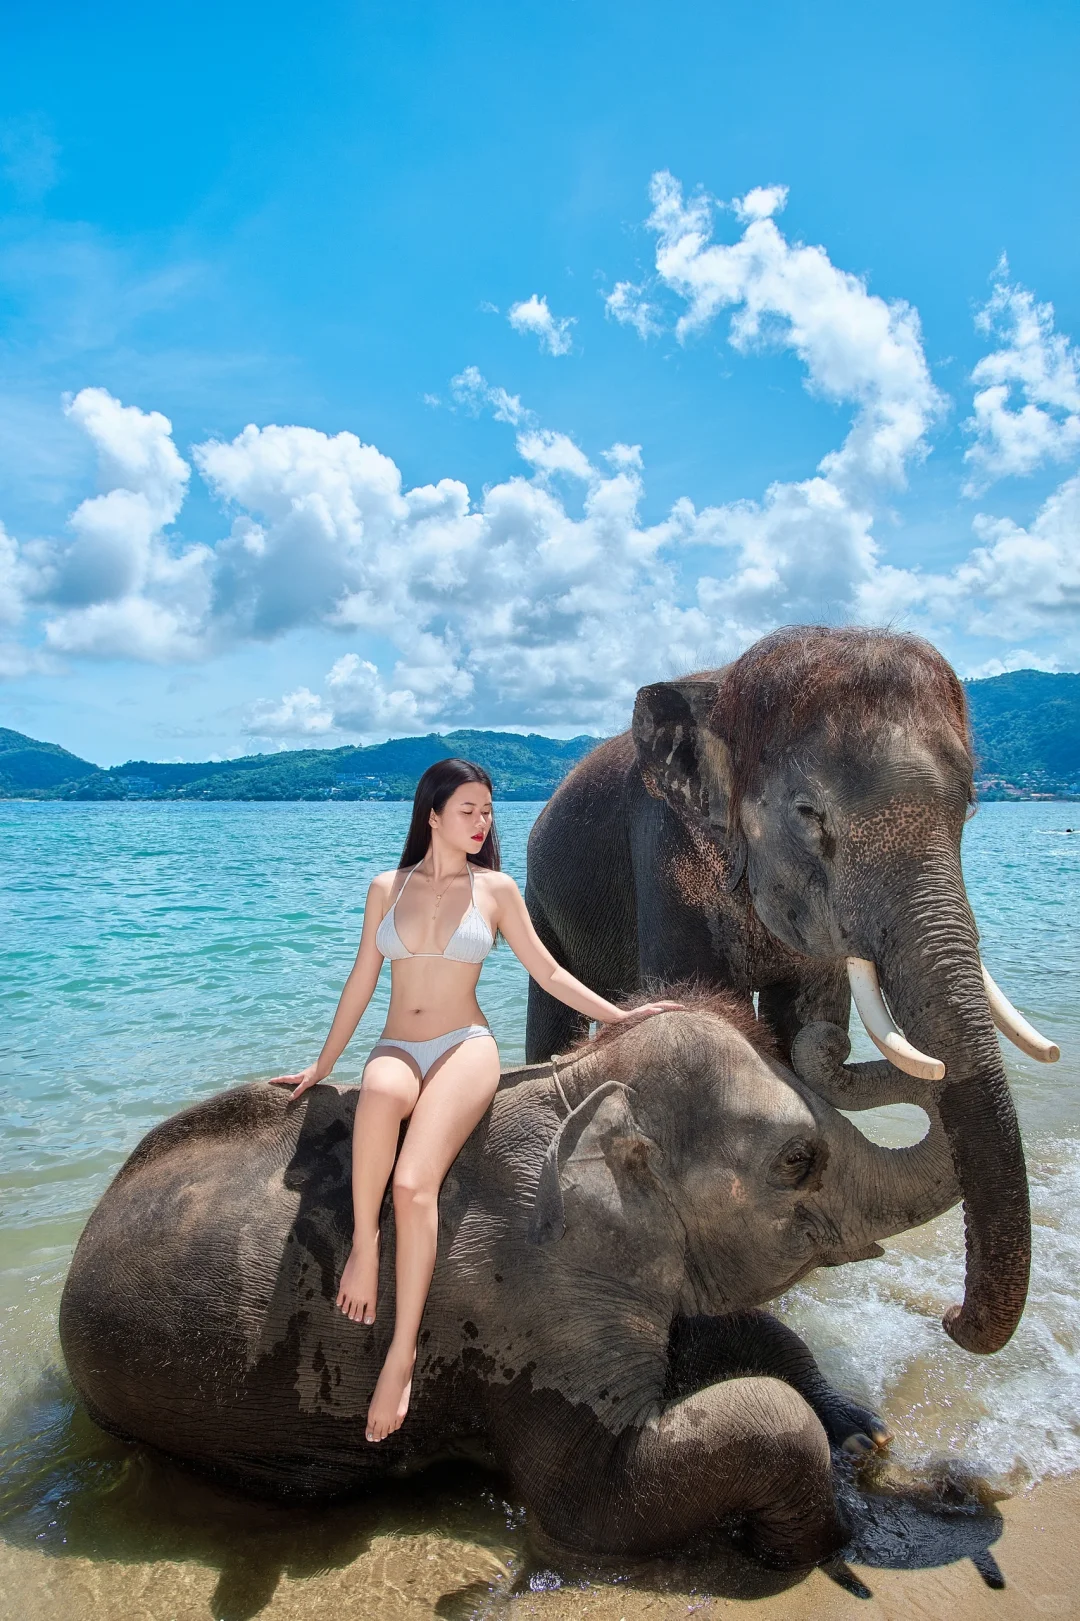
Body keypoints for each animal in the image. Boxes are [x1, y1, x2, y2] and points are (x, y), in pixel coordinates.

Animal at [60, 997, 961, 1569]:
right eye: (798, 1160)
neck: (576, 1081)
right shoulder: (525, 1311)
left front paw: (864, 1436)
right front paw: (812, 1544)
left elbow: (739, 1332)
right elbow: (596, 1500)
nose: (827, 1038)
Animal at [524, 625, 1059, 1357]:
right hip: (538, 902)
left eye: (969, 810)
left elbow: (804, 1007)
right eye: (809, 813)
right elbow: (695, 995)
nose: (952, 1319)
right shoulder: (663, 852)